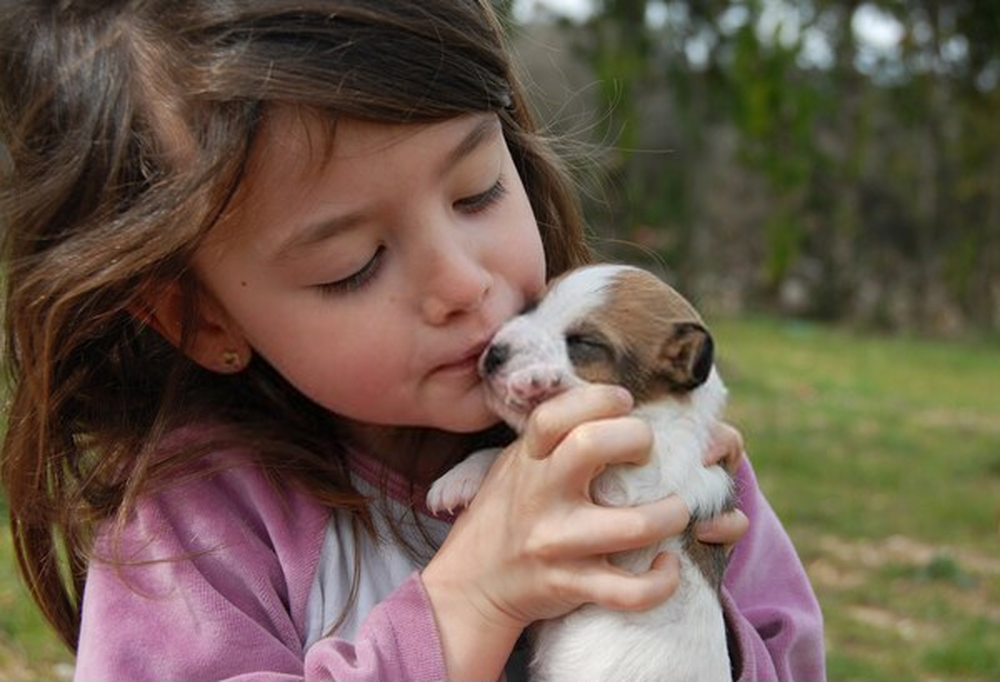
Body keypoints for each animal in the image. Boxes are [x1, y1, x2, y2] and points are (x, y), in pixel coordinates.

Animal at [426, 262, 732, 676]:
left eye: (583, 343)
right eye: (530, 306)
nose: (494, 354)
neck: (661, 412)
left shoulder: (640, 481)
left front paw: (540, 383)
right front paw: (458, 478)